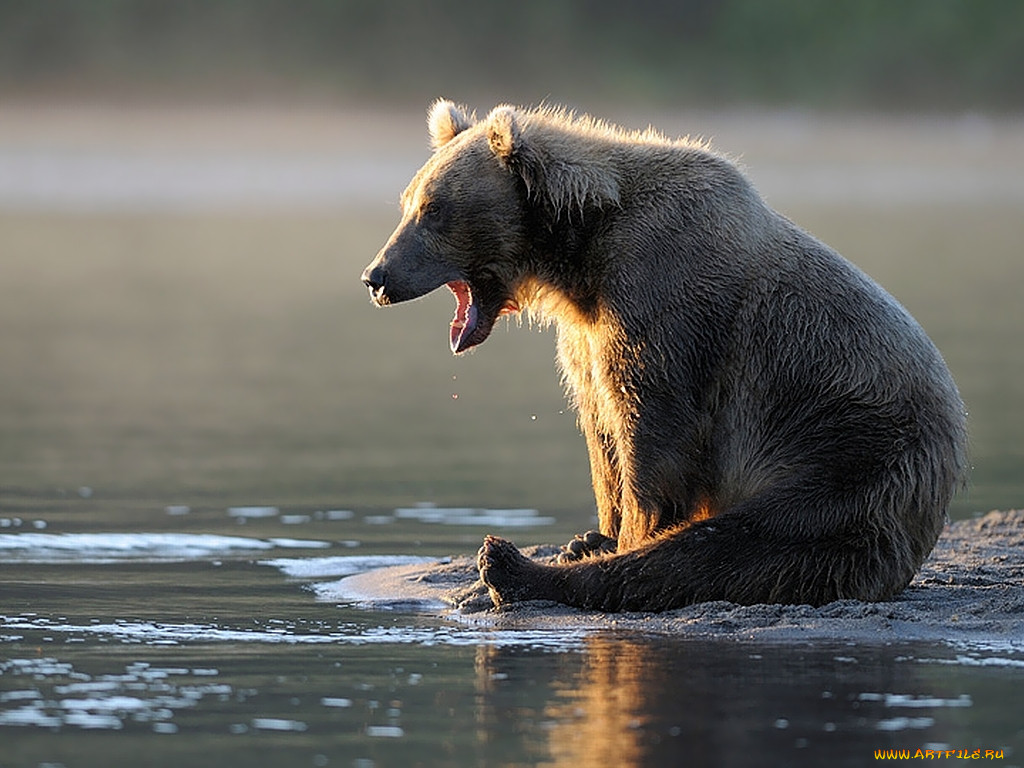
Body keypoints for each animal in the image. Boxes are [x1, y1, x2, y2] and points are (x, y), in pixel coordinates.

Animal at [360, 99, 966, 614]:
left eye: (433, 210)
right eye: (407, 202)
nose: (377, 276)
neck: (578, 254)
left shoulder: (663, 296)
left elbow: (653, 431)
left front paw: (623, 533)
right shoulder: (585, 337)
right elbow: (602, 430)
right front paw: (600, 529)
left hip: (848, 458)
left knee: (733, 548)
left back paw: (513, 566)